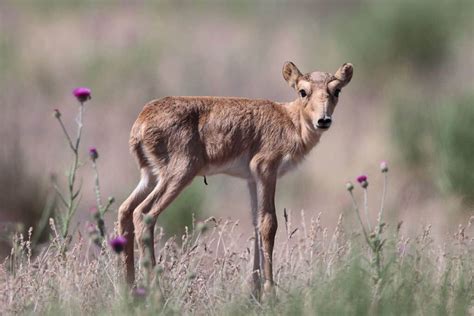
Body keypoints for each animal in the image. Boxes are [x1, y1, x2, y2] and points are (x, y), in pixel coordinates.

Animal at [118, 61, 354, 296]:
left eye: (337, 90)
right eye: (303, 91)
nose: (323, 120)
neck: (290, 119)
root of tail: (141, 122)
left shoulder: (251, 179)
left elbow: (256, 223)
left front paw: (255, 291)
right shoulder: (266, 170)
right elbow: (269, 224)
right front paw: (270, 292)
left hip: (150, 177)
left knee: (125, 210)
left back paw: (129, 290)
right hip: (179, 174)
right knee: (143, 213)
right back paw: (156, 293)